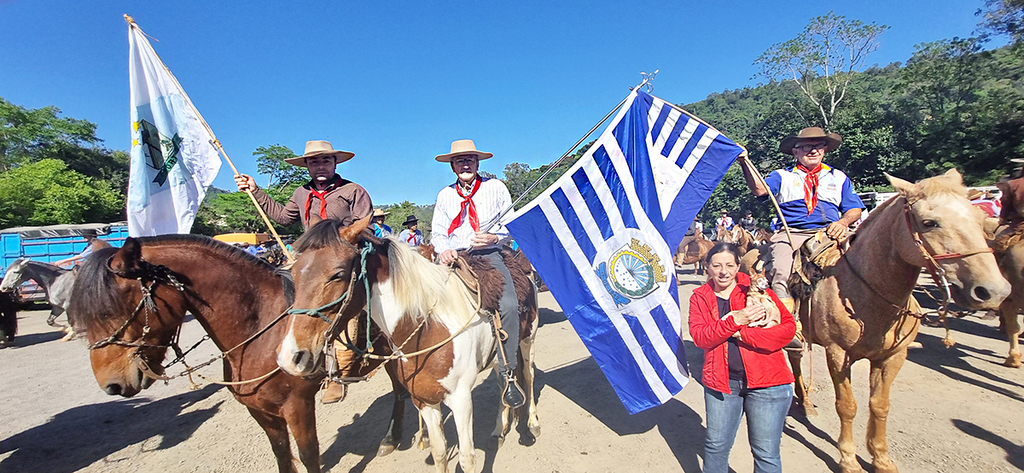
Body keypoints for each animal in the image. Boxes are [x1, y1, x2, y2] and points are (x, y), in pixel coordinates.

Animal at [65, 235, 411, 473]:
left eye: (116, 307)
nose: (112, 385)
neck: (259, 334)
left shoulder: (297, 406)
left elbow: (308, 454)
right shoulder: (260, 410)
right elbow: (281, 452)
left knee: (399, 392)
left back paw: (391, 439)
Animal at [276, 218, 540, 473]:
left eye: (337, 274)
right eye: (293, 274)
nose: (291, 356)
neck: (427, 327)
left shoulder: (461, 399)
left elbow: (467, 459)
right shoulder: (424, 400)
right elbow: (439, 454)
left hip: (528, 339)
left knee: (527, 375)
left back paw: (531, 425)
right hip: (497, 358)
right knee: (503, 381)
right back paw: (499, 429)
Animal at [790, 169, 1007, 473]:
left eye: (979, 219)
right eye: (929, 222)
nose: (993, 291)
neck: (867, 294)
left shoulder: (893, 356)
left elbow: (879, 405)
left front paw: (881, 458)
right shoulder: (837, 353)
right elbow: (847, 406)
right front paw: (848, 459)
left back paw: (805, 401)